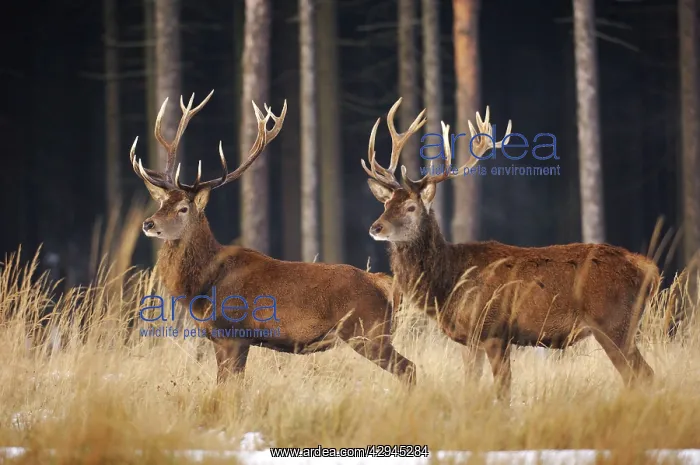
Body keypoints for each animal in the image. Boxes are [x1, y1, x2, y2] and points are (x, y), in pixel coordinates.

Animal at [129, 90, 416, 386]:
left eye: (183, 208)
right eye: (162, 203)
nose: (148, 223)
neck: (204, 285)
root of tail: (383, 283)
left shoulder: (233, 334)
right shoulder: (221, 339)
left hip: (368, 332)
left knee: (409, 368)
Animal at [361, 98, 660, 400]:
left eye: (411, 207)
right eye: (386, 204)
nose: (375, 227)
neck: (449, 284)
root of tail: (648, 268)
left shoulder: (494, 330)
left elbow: (503, 390)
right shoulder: (470, 340)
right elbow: (472, 383)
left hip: (614, 323)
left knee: (644, 375)